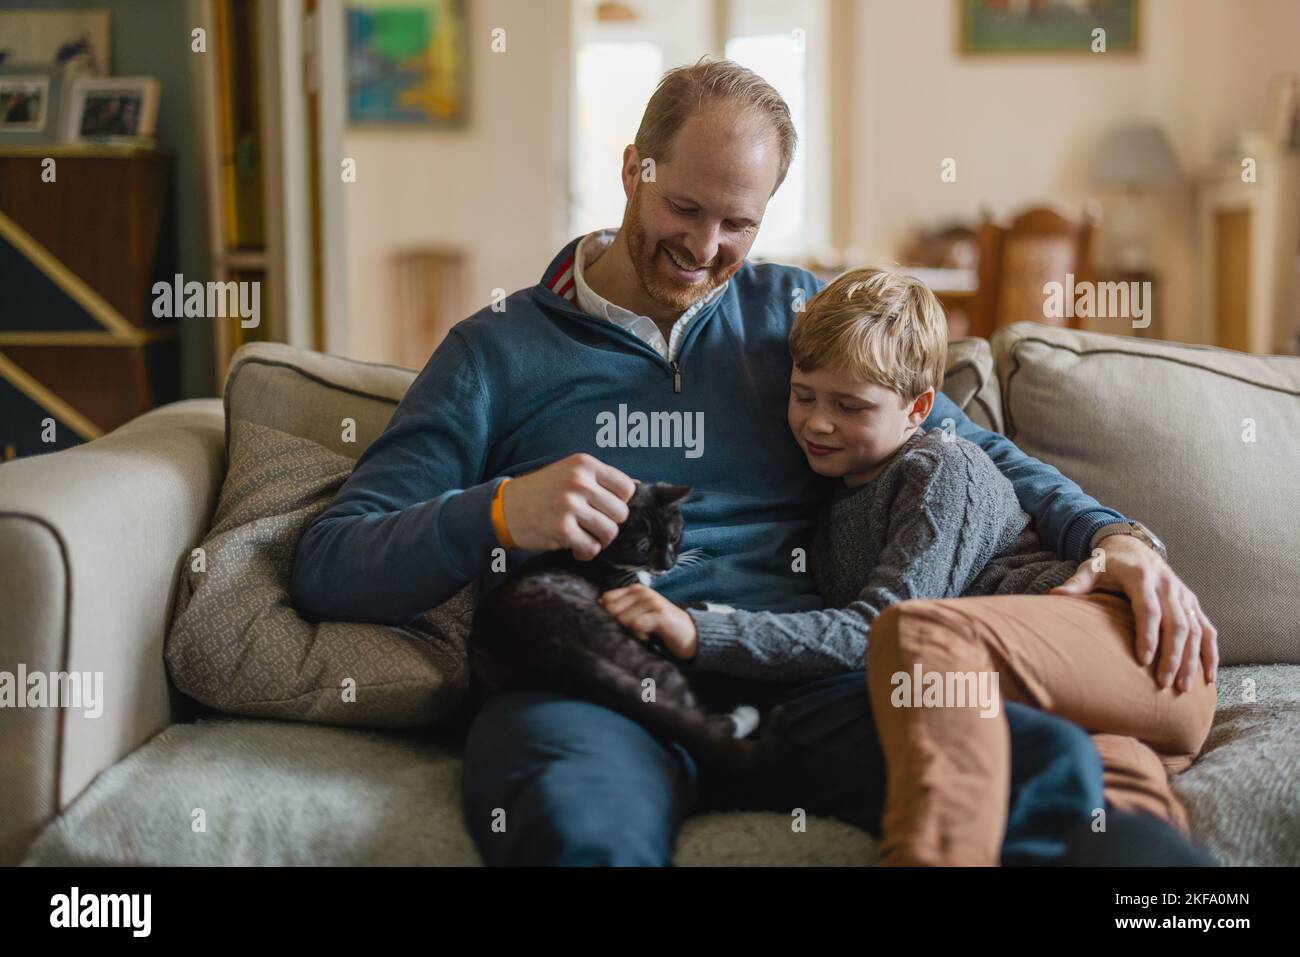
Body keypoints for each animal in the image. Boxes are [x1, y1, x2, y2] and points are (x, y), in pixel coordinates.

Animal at [470, 481, 764, 774]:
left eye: (673, 537)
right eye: (644, 546)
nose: (668, 565)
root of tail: (546, 646)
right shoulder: (623, 591)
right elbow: (673, 603)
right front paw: (725, 610)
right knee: (687, 707)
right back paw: (744, 715)